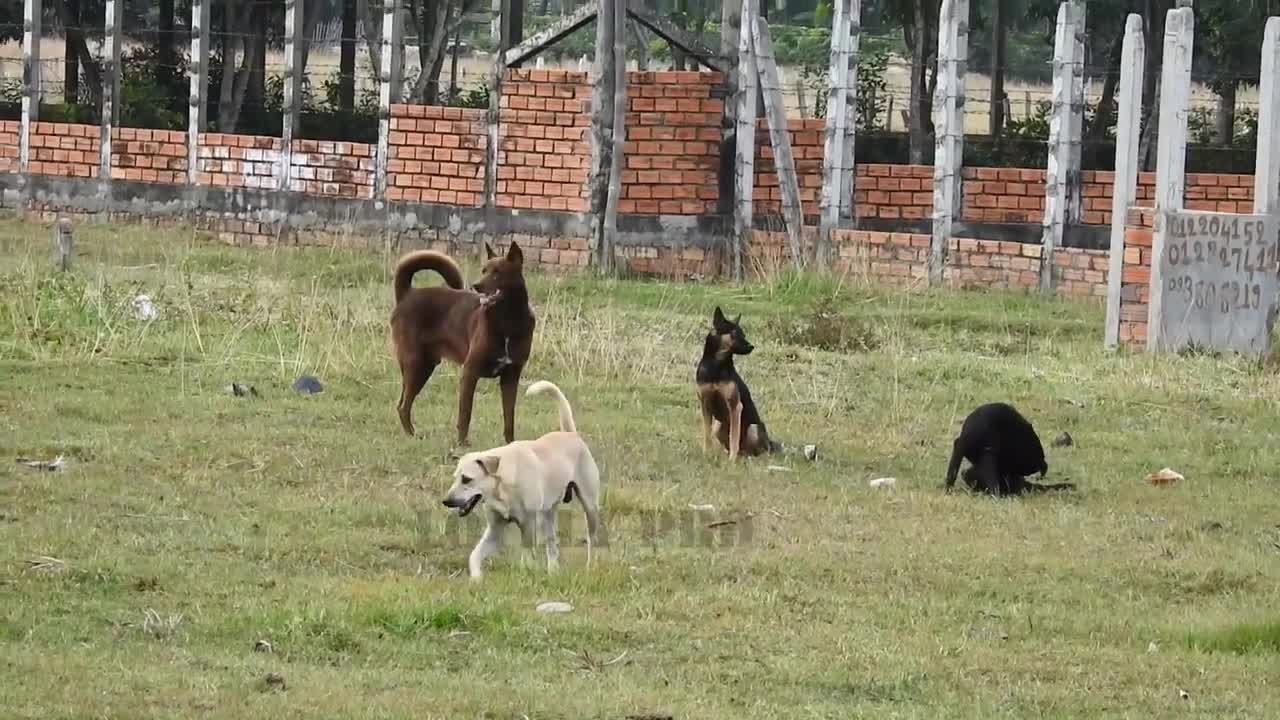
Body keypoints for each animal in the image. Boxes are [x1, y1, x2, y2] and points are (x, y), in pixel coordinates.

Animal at [386, 240, 532, 443]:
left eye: (497, 272)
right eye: (484, 270)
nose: (476, 285)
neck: (507, 321)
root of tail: (407, 294)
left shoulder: (511, 378)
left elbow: (509, 416)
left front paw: (511, 444)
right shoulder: (470, 372)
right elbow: (465, 413)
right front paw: (462, 444)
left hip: (425, 366)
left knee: (403, 403)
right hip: (415, 364)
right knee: (403, 405)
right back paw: (412, 436)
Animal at [442, 381, 601, 576]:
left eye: (466, 479)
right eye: (455, 478)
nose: (446, 501)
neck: (503, 481)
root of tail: (571, 434)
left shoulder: (527, 524)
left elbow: (527, 555)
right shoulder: (495, 531)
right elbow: (475, 556)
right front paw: (476, 578)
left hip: (589, 506)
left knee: (592, 540)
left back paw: (590, 567)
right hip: (547, 513)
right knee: (552, 545)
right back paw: (553, 572)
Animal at [701, 304, 778, 456]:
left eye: (744, 334)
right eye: (736, 334)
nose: (752, 346)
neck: (716, 364)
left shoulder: (735, 406)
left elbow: (734, 437)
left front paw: (732, 459)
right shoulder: (705, 403)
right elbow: (707, 434)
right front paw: (706, 454)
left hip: (753, 428)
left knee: (757, 449)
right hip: (718, 426)